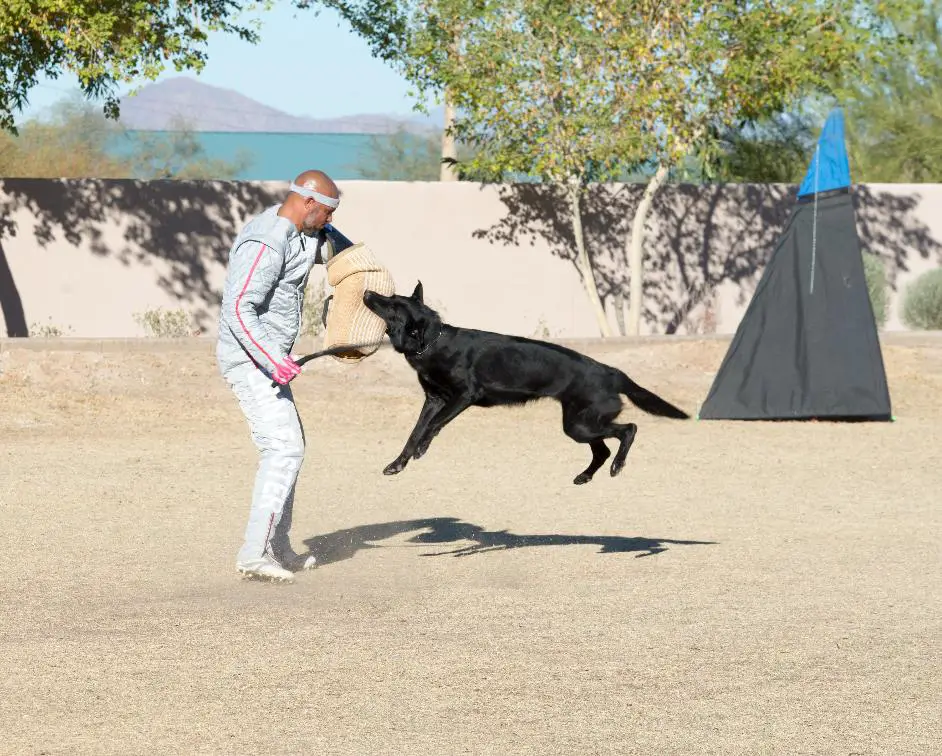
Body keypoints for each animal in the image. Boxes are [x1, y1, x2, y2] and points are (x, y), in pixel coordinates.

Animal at [362, 282, 690, 485]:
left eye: (393, 307)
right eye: (390, 298)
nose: (367, 292)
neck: (432, 342)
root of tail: (611, 372)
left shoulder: (463, 396)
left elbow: (432, 426)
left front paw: (421, 450)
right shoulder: (434, 399)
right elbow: (415, 432)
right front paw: (399, 462)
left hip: (582, 424)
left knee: (628, 430)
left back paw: (617, 466)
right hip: (578, 424)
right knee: (603, 449)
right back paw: (586, 475)